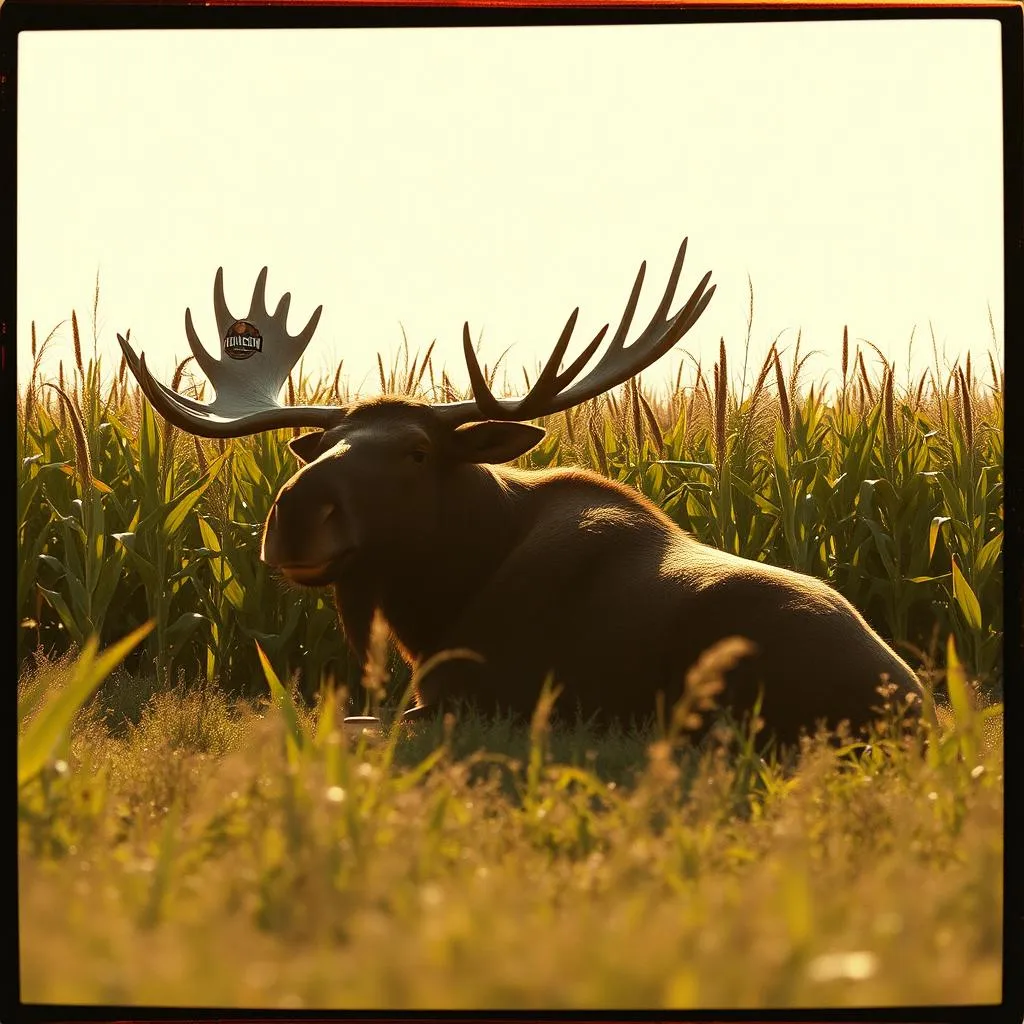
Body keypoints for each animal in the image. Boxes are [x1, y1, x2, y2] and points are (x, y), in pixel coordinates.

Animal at [117, 238, 922, 746]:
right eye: (326, 444)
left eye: (417, 451)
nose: (295, 513)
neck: (434, 603)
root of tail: (911, 701)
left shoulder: (478, 696)